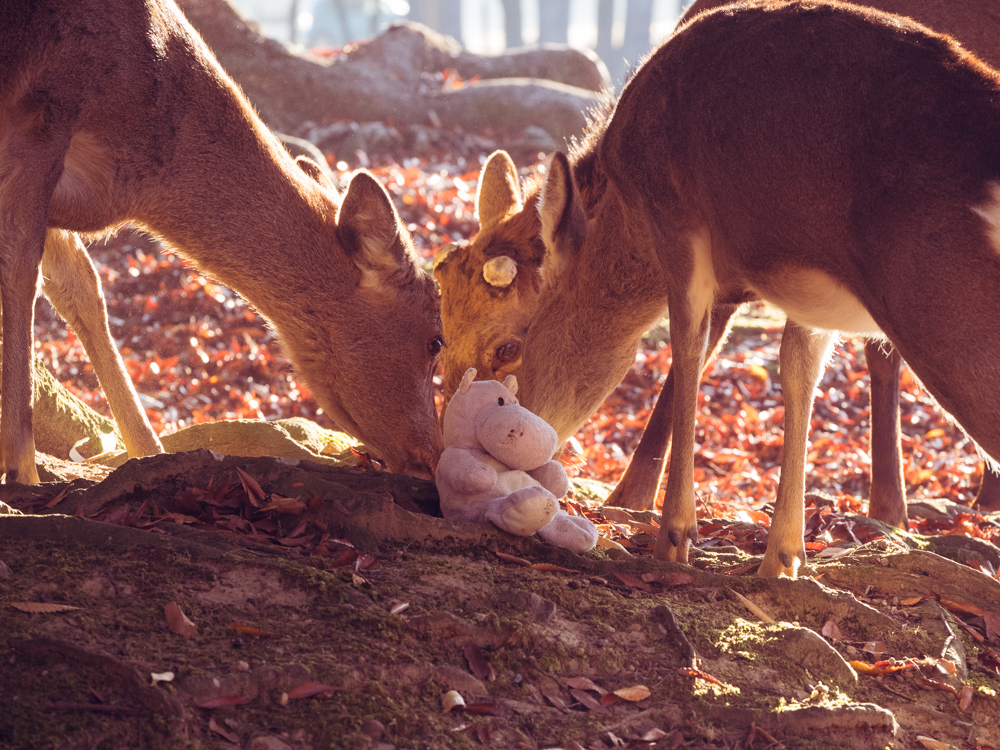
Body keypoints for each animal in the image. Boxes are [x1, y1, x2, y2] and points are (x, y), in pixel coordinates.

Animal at [0, 0, 443, 485]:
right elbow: (20, 271)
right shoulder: (42, 117)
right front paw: (21, 469)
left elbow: (80, 290)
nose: (432, 456)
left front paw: (149, 452)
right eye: (437, 341)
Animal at [433, 0, 1000, 541]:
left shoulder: (687, 234)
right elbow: (798, 363)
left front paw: (651, 517)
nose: (445, 449)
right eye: (440, 340)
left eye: (511, 347)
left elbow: (689, 353)